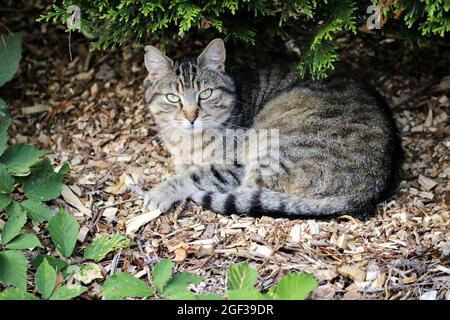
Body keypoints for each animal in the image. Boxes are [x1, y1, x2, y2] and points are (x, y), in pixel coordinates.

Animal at [141, 37, 400, 218]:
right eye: (173, 98)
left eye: (206, 93)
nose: (191, 117)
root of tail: (369, 191)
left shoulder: (234, 165)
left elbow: (194, 175)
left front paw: (159, 192)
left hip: (273, 146)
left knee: (250, 193)